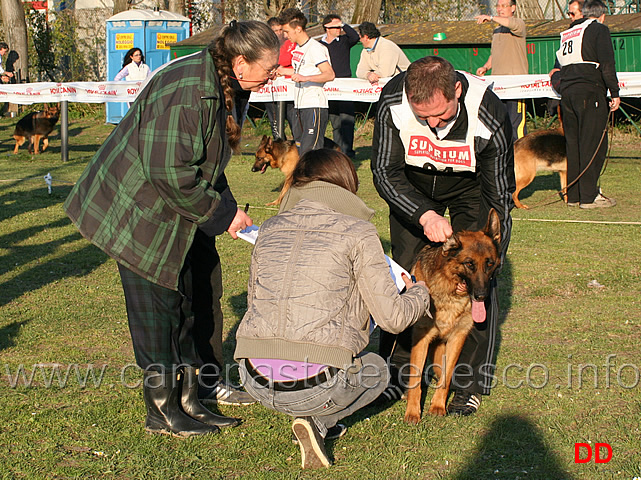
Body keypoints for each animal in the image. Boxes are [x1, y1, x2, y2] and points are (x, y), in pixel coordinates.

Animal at [404, 208, 500, 422]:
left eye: (489, 264)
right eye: (469, 264)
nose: (482, 296)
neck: (451, 295)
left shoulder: (458, 338)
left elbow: (447, 377)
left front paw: (438, 406)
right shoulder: (420, 338)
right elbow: (415, 378)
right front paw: (413, 412)